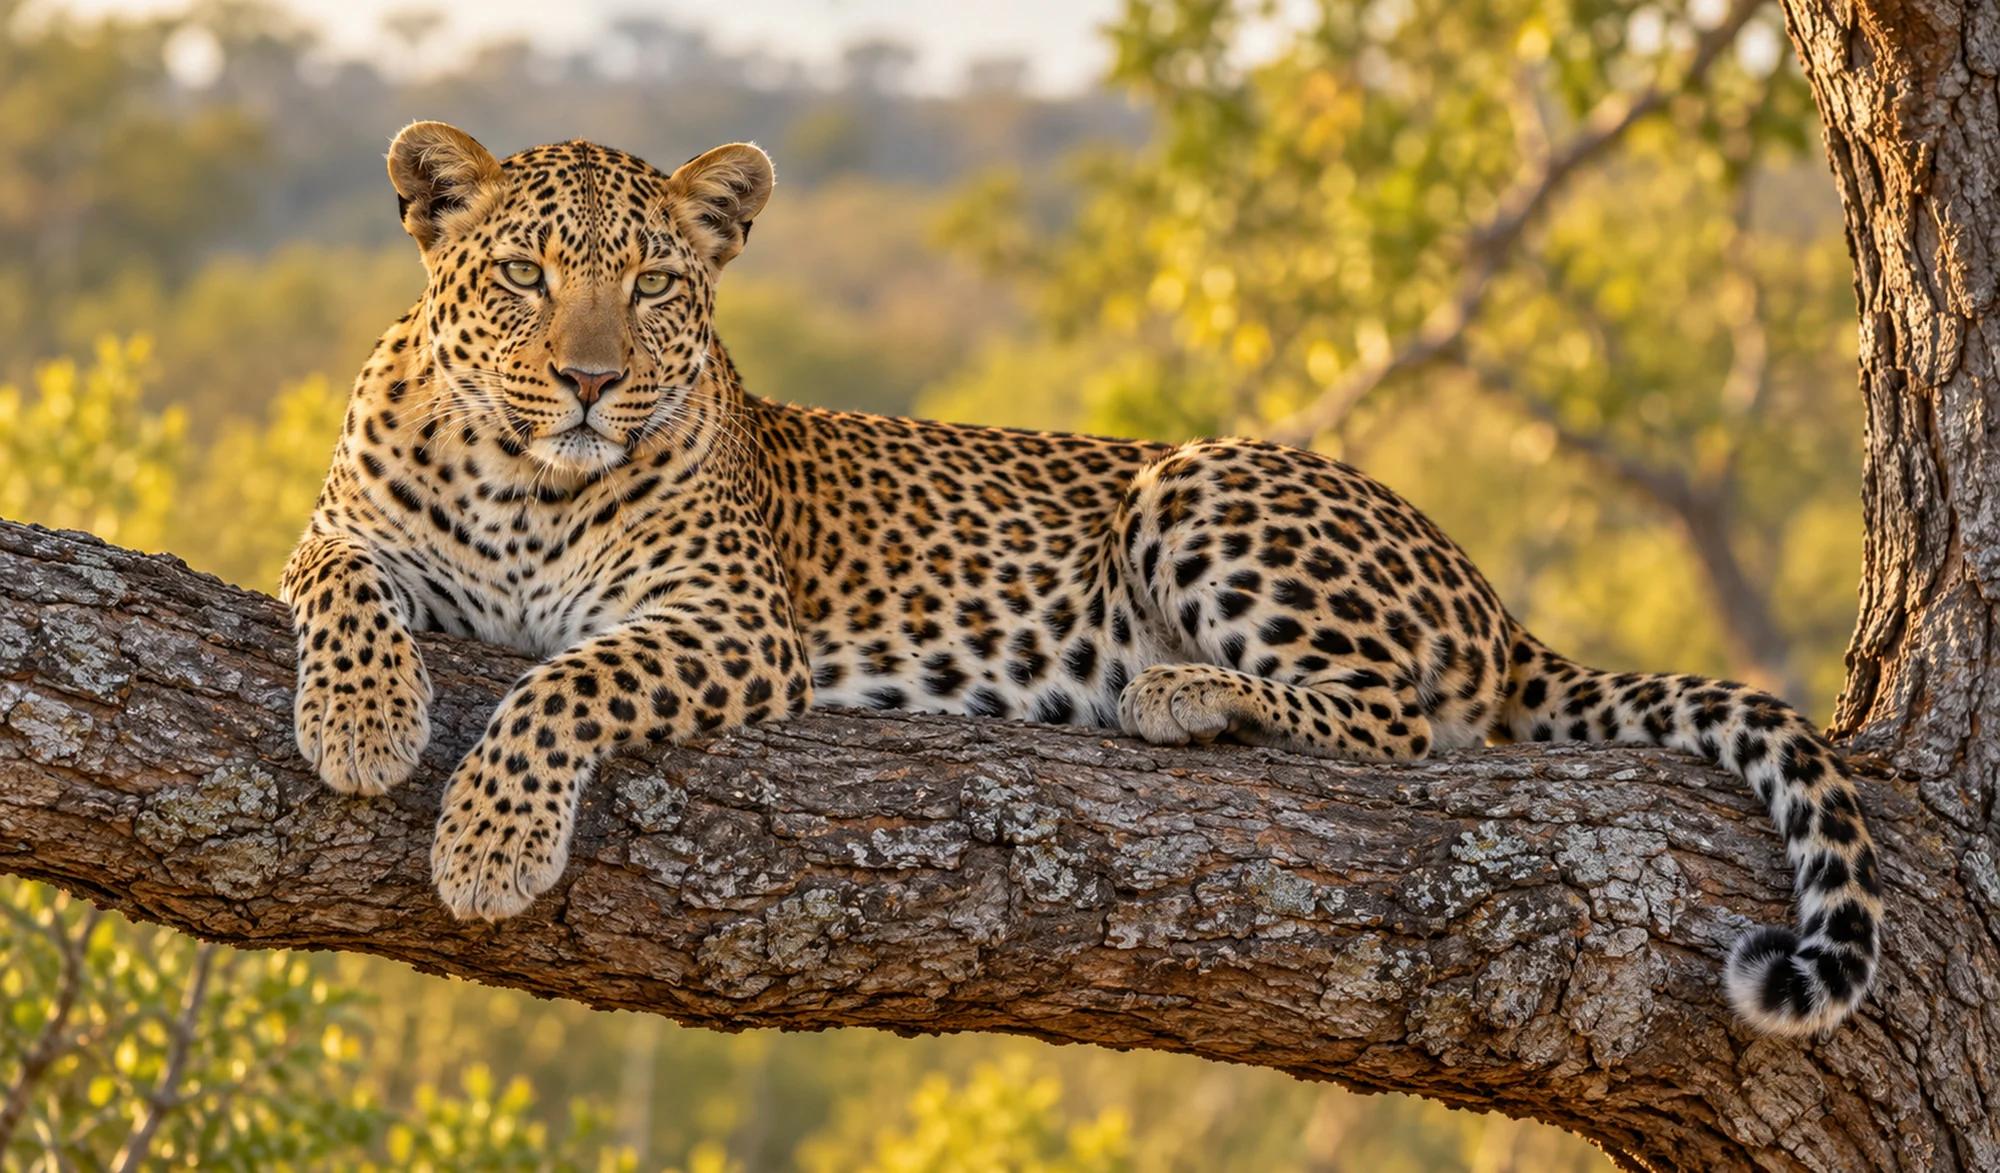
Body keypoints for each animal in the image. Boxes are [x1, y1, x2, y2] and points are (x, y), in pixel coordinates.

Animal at [282, 120, 1883, 1038]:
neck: (521, 477)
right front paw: (362, 724)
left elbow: (562, 685)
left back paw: (1180, 694)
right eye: (524, 278)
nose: (593, 382)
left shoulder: (731, 621)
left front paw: (489, 845)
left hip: (1203, 486)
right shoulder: (341, 529)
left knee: (1400, 720)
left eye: (655, 286)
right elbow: (341, 586)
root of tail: (1487, 593)